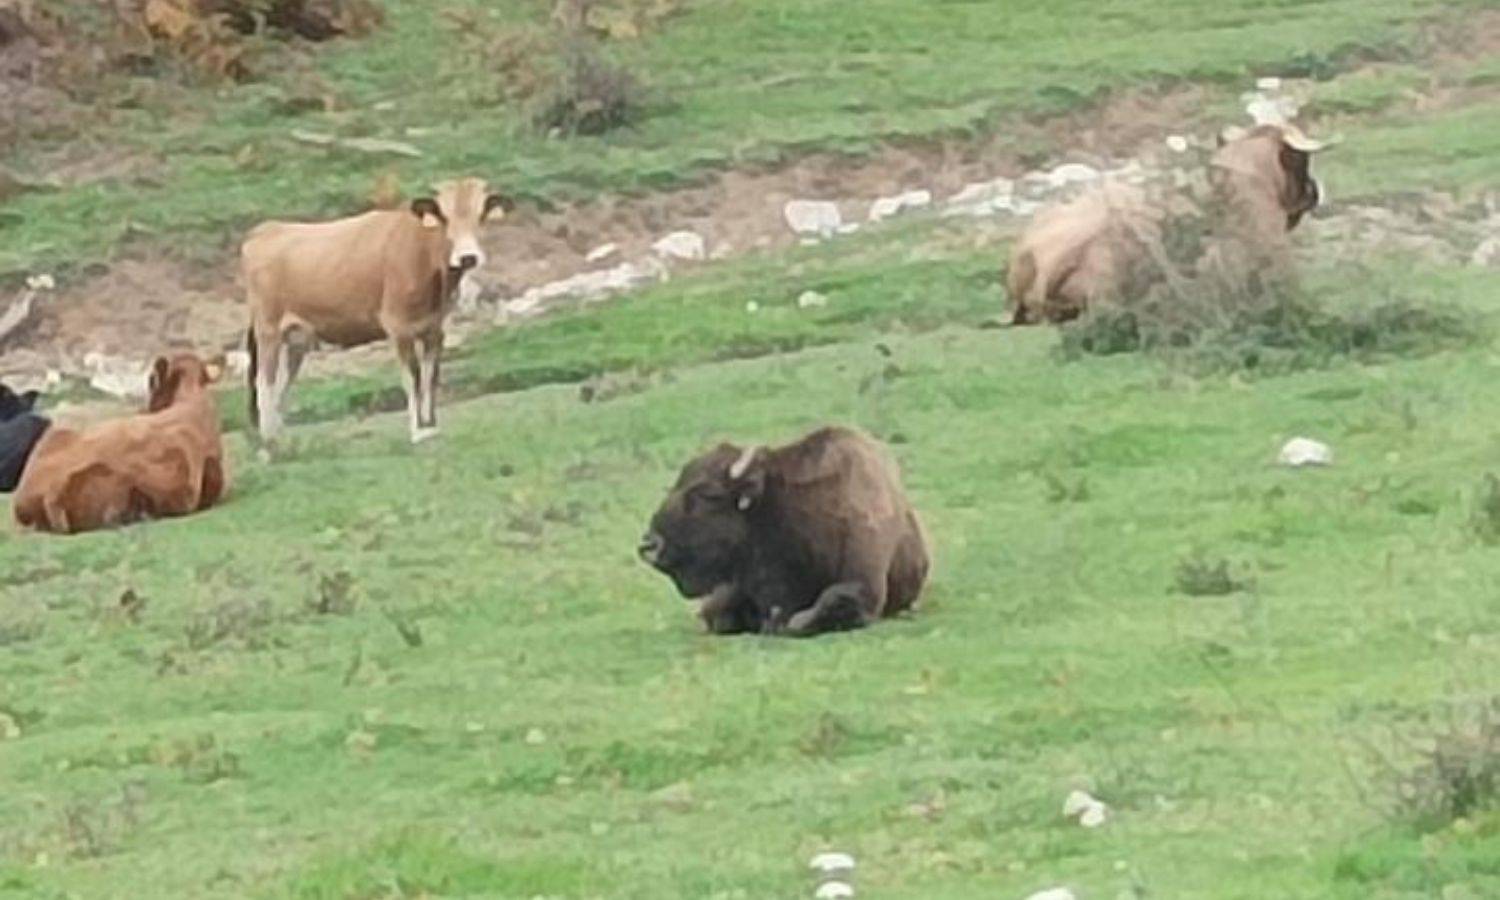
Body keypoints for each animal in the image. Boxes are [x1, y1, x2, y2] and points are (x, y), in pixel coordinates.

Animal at [240, 177, 510, 444]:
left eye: (480, 214)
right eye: (444, 216)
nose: (467, 257)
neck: (421, 252)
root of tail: (266, 229)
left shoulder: (434, 328)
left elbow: (430, 376)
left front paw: (431, 425)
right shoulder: (398, 326)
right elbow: (412, 377)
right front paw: (418, 431)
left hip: (297, 338)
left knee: (282, 384)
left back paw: (280, 437)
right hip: (269, 330)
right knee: (264, 381)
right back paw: (269, 441)